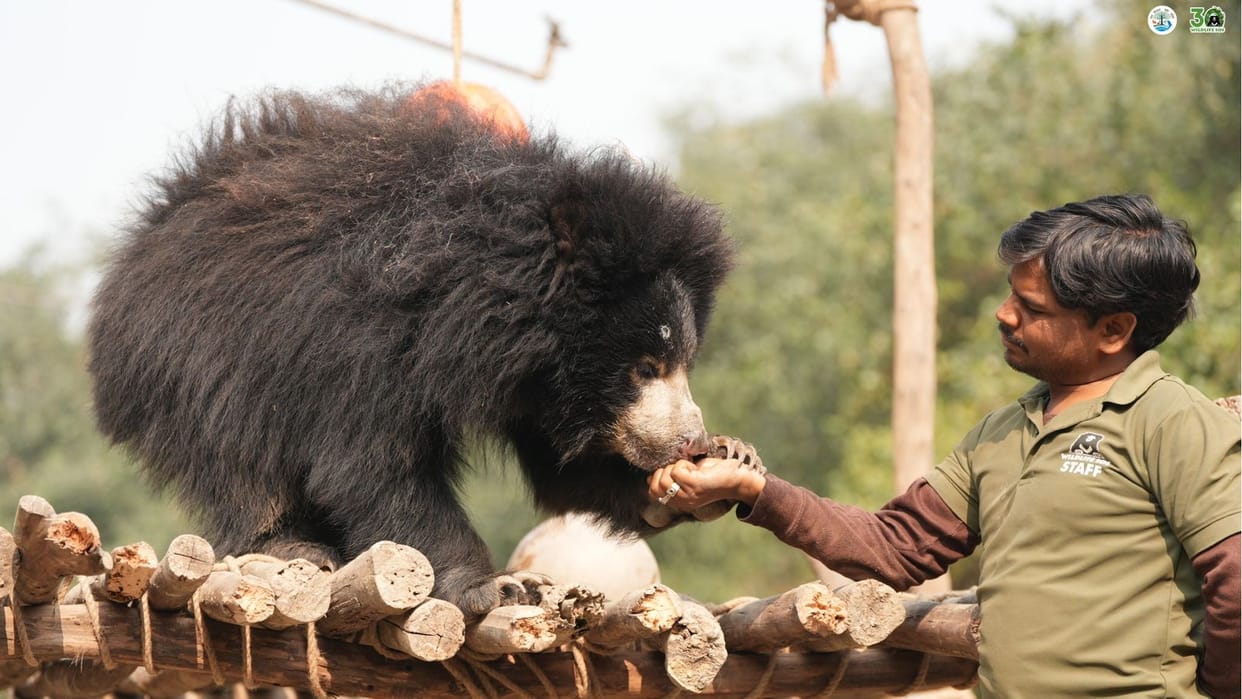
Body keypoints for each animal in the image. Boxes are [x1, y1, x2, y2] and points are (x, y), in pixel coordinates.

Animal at [87, 85, 738, 617]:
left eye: (681, 364)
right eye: (644, 368)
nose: (691, 440)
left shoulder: (543, 386)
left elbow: (563, 468)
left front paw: (713, 473)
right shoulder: (366, 346)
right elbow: (372, 464)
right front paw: (491, 586)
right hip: (200, 356)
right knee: (241, 458)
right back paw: (289, 544)